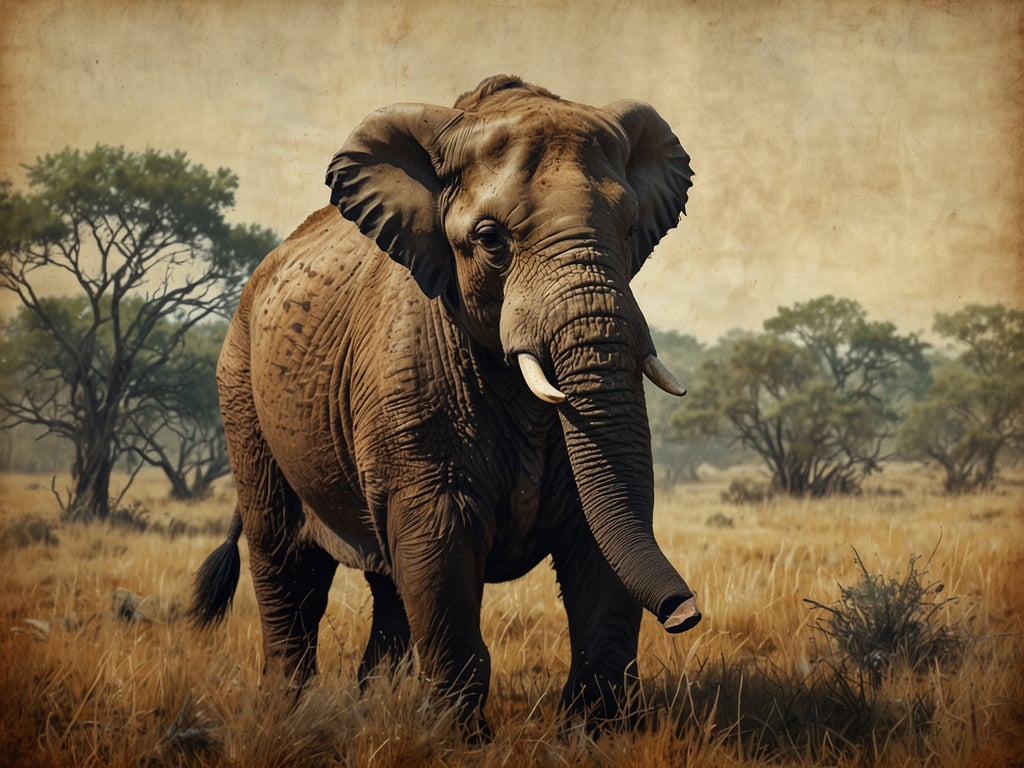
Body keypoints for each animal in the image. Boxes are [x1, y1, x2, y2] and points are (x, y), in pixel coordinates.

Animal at [191, 74, 701, 736]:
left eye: (632, 228)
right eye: (489, 240)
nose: (685, 612)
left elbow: (601, 541)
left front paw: (591, 737)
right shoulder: (406, 376)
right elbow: (439, 539)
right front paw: (460, 740)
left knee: (387, 581)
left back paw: (375, 704)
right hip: (241, 390)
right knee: (287, 564)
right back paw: (289, 716)